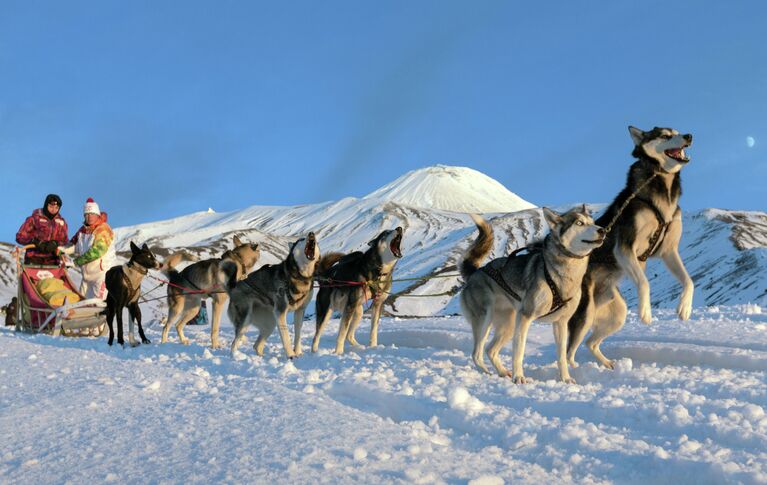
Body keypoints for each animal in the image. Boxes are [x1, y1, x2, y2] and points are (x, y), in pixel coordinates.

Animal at [314, 225, 408, 354]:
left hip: (357, 311)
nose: (399, 228)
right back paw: (313, 352)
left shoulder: (378, 304)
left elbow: (373, 330)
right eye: (386, 233)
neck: (379, 272)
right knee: (317, 336)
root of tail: (325, 276)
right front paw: (338, 352)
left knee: (349, 335)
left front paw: (373, 347)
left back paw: (359, 347)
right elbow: (342, 332)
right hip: (327, 312)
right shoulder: (349, 307)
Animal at [462, 207, 608, 382]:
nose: (603, 230)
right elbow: (519, 352)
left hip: (509, 324)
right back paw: (487, 373)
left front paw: (566, 379)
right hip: (486, 320)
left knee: (490, 350)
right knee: (476, 354)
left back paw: (502, 372)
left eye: (593, 222)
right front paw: (519, 377)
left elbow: (561, 356)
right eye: (579, 223)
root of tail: (475, 271)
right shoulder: (525, 317)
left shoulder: (561, 322)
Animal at [564, 126, 696, 368]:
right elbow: (644, 282)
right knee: (569, 352)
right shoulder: (625, 248)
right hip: (584, 315)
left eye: (678, 131)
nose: (689, 136)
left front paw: (684, 308)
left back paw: (608, 365)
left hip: (616, 313)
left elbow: (689, 281)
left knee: (590, 343)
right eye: (665, 135)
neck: (660, 181)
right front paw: (645, 312)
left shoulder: (669, 251)